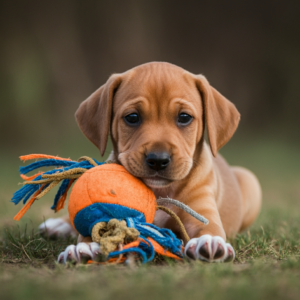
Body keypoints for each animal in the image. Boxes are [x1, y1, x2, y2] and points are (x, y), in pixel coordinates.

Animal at [39, 62, 260, 262]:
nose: (158, 160)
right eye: (132, 117)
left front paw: (210, 241)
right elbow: (92, 227)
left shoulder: (202, 213)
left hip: (251, 181)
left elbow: (210, 228)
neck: (160, 192)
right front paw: (83, 247)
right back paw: (59, 225)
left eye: (184, 117)